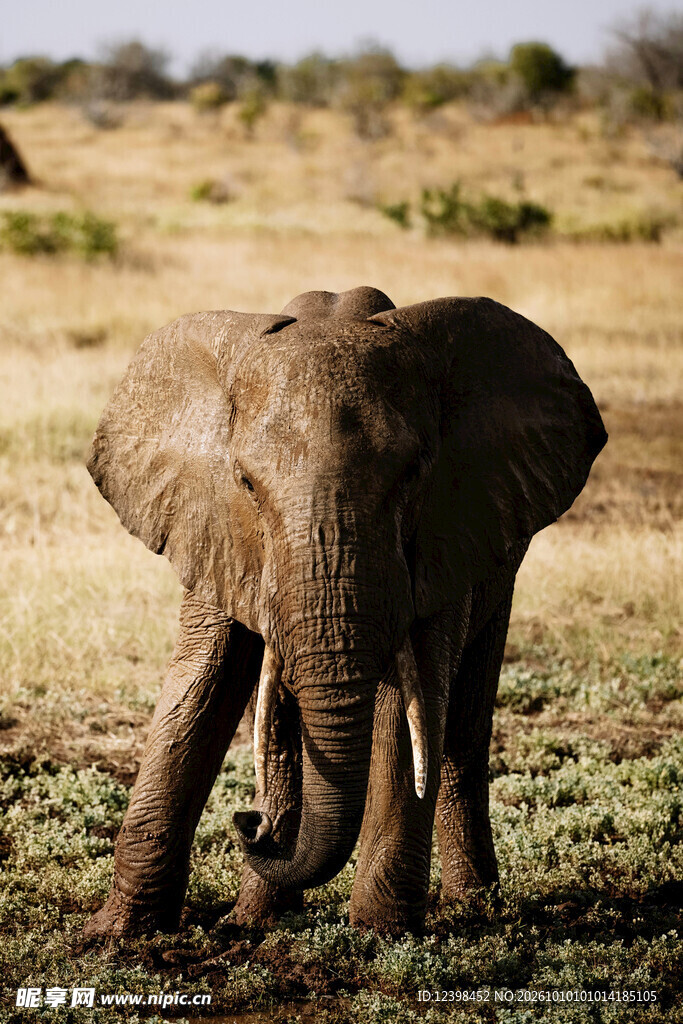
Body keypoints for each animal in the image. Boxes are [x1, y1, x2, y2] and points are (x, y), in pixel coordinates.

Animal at [83, 286, 606, 939]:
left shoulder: (444, 532)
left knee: (461, 723)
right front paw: (113, 937)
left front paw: (382, 939)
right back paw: (256, 919)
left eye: (413, 475)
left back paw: (471, 907)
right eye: (246, 483)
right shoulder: (213, 523)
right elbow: (199, 687)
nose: (249, 823)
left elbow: (409, 705)